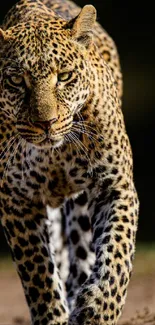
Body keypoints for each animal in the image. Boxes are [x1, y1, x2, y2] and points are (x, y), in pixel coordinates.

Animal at [0, 0, 139, 322]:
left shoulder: (115, 186)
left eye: (64, 76)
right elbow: (39, 273)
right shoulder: (16, 199)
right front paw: (54, 317)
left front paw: (98, 310)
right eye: (16, 81)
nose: (46, 123)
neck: (57, 152)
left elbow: (117, 253)